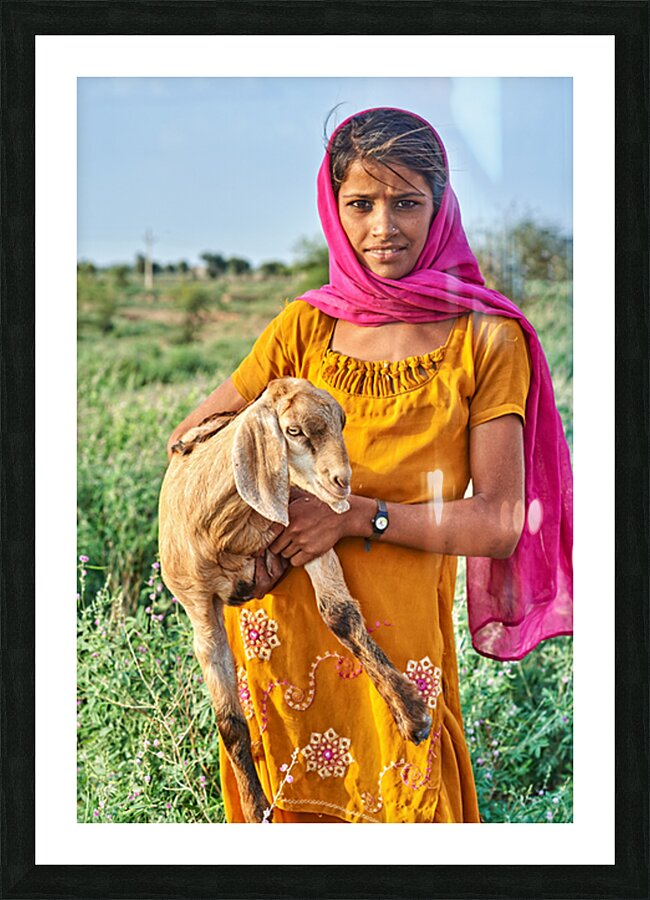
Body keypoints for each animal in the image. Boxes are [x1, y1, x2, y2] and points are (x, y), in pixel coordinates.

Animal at [158, 377, 432, 822]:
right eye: (293, 431)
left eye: (341, 423)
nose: (342, 481)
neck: (226, 529)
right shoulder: (198, 603)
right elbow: (230, 722)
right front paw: (255, 809)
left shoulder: (306, 533)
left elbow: (340, 615)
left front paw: (412, 712)